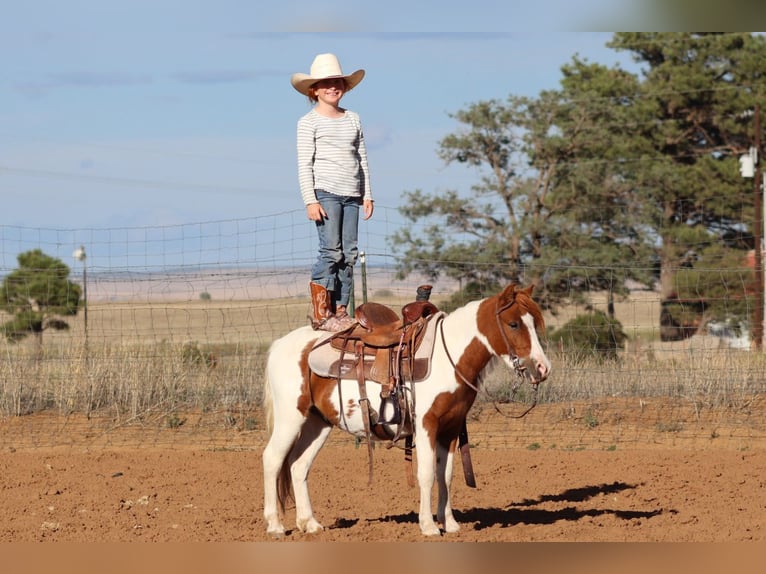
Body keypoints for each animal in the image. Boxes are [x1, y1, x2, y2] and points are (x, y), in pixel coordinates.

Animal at [261, 283, 551, 537]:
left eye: (533, 323)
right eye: (513, 324)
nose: (542, 368)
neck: (447, 357)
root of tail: (279, 345)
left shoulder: (451, 428)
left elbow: (446, 475)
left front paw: (450, 524)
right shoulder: (426, 425)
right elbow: (426, 474)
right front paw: (429, 526)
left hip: (318, 422)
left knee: (298, 465)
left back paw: (309, 524)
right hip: (290, 418)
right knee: (273, 459)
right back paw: (275, 526)